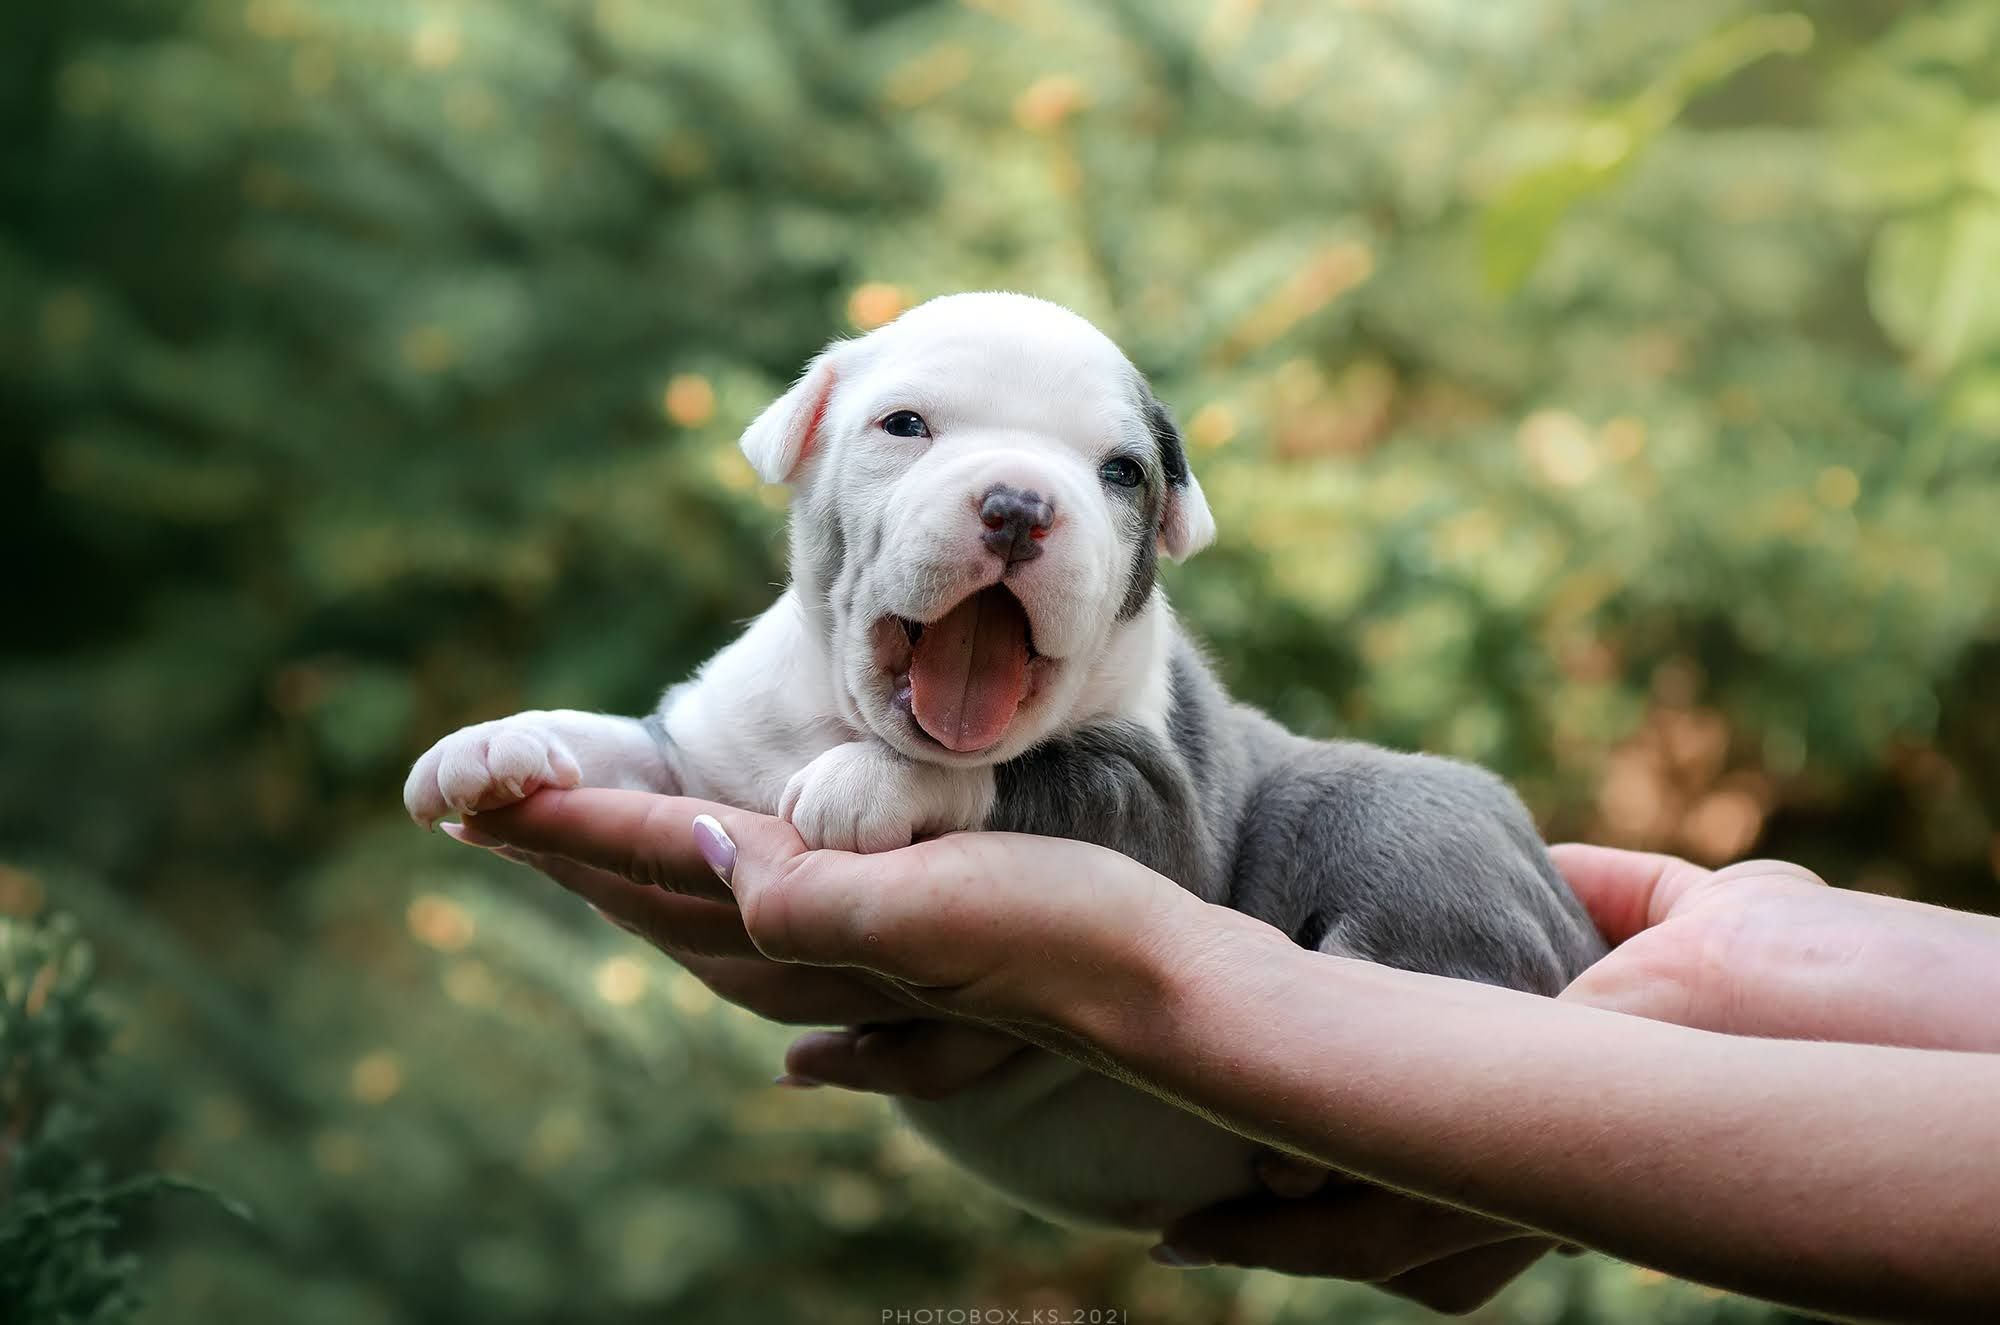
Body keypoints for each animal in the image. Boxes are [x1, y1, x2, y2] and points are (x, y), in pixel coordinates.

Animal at [406, 294, 1608, 1232]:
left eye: (1119, 471)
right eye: (905, 425)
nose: (1021, 505)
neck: (842, 711)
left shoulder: (1159, 812)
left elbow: (1026, 774)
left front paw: (866, 785)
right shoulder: (706, 755)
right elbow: (626, 742)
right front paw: (493, 743)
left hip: (1408, 814)